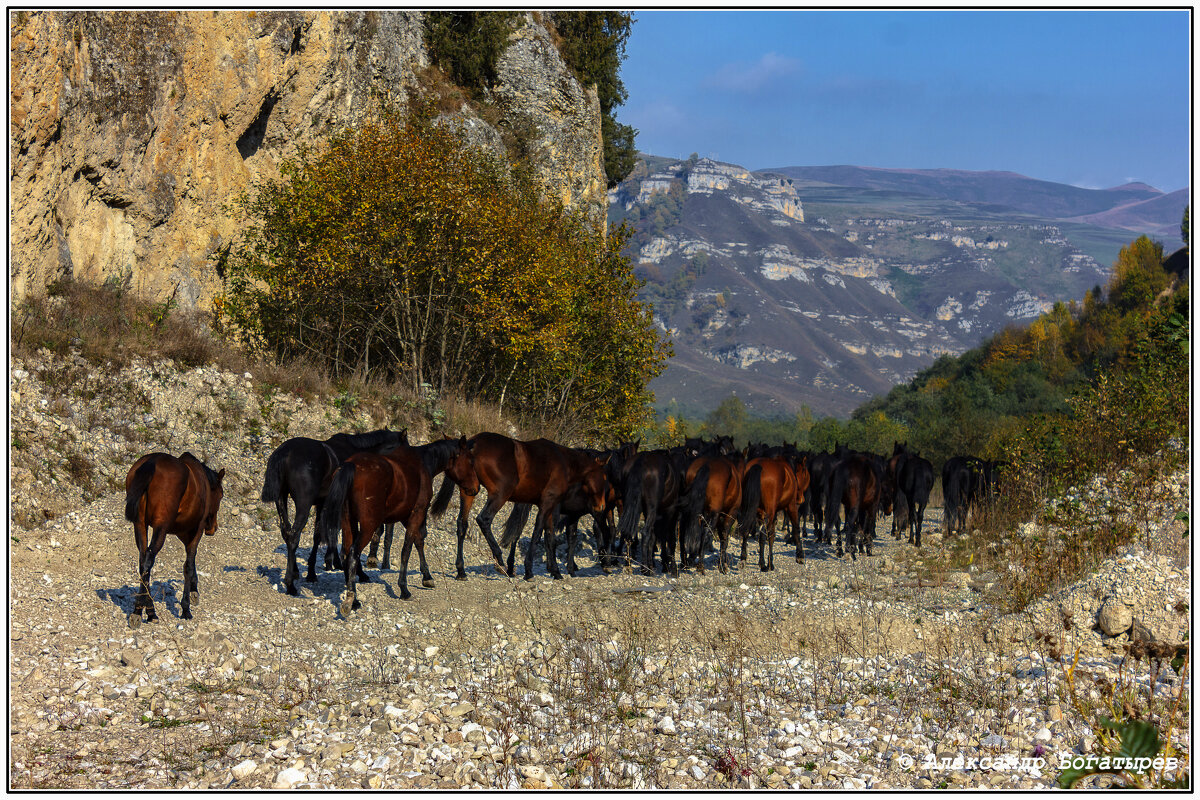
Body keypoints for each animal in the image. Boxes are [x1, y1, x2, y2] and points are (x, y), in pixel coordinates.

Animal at [123, 453, 225, 623]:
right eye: (221, 495)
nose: (213, 528)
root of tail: (152, 461)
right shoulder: (196, 530)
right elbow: (188, 565)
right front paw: (186, 607)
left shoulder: (183, 532)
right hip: (161, 528)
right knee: (149, 559)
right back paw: (140, 611)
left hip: (140, 524)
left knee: (143, 561)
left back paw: (148, 610)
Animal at [258, 431, 408, 594]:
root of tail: (285, 452)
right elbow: (342, 535)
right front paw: (354, 571)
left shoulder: (323, 503)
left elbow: (322, 534)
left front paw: (323, 567)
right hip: (304, 504)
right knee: (293, 536)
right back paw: (290, 584)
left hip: (281, 499)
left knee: (287, 532)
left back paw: (296, 571)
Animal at [319, 434, 477, 609]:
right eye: (470, 461)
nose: (475, 488)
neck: (423, 462)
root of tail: (351, 465)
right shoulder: (416, 514)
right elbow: (407, 549)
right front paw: (404, 588)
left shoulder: (406, 516)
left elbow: (418, 541)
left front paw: (427, 576)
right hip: (368, 525)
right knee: (353, 553)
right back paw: (352, 599)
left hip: (348, 522)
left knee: (346, 552)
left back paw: (353, 595)